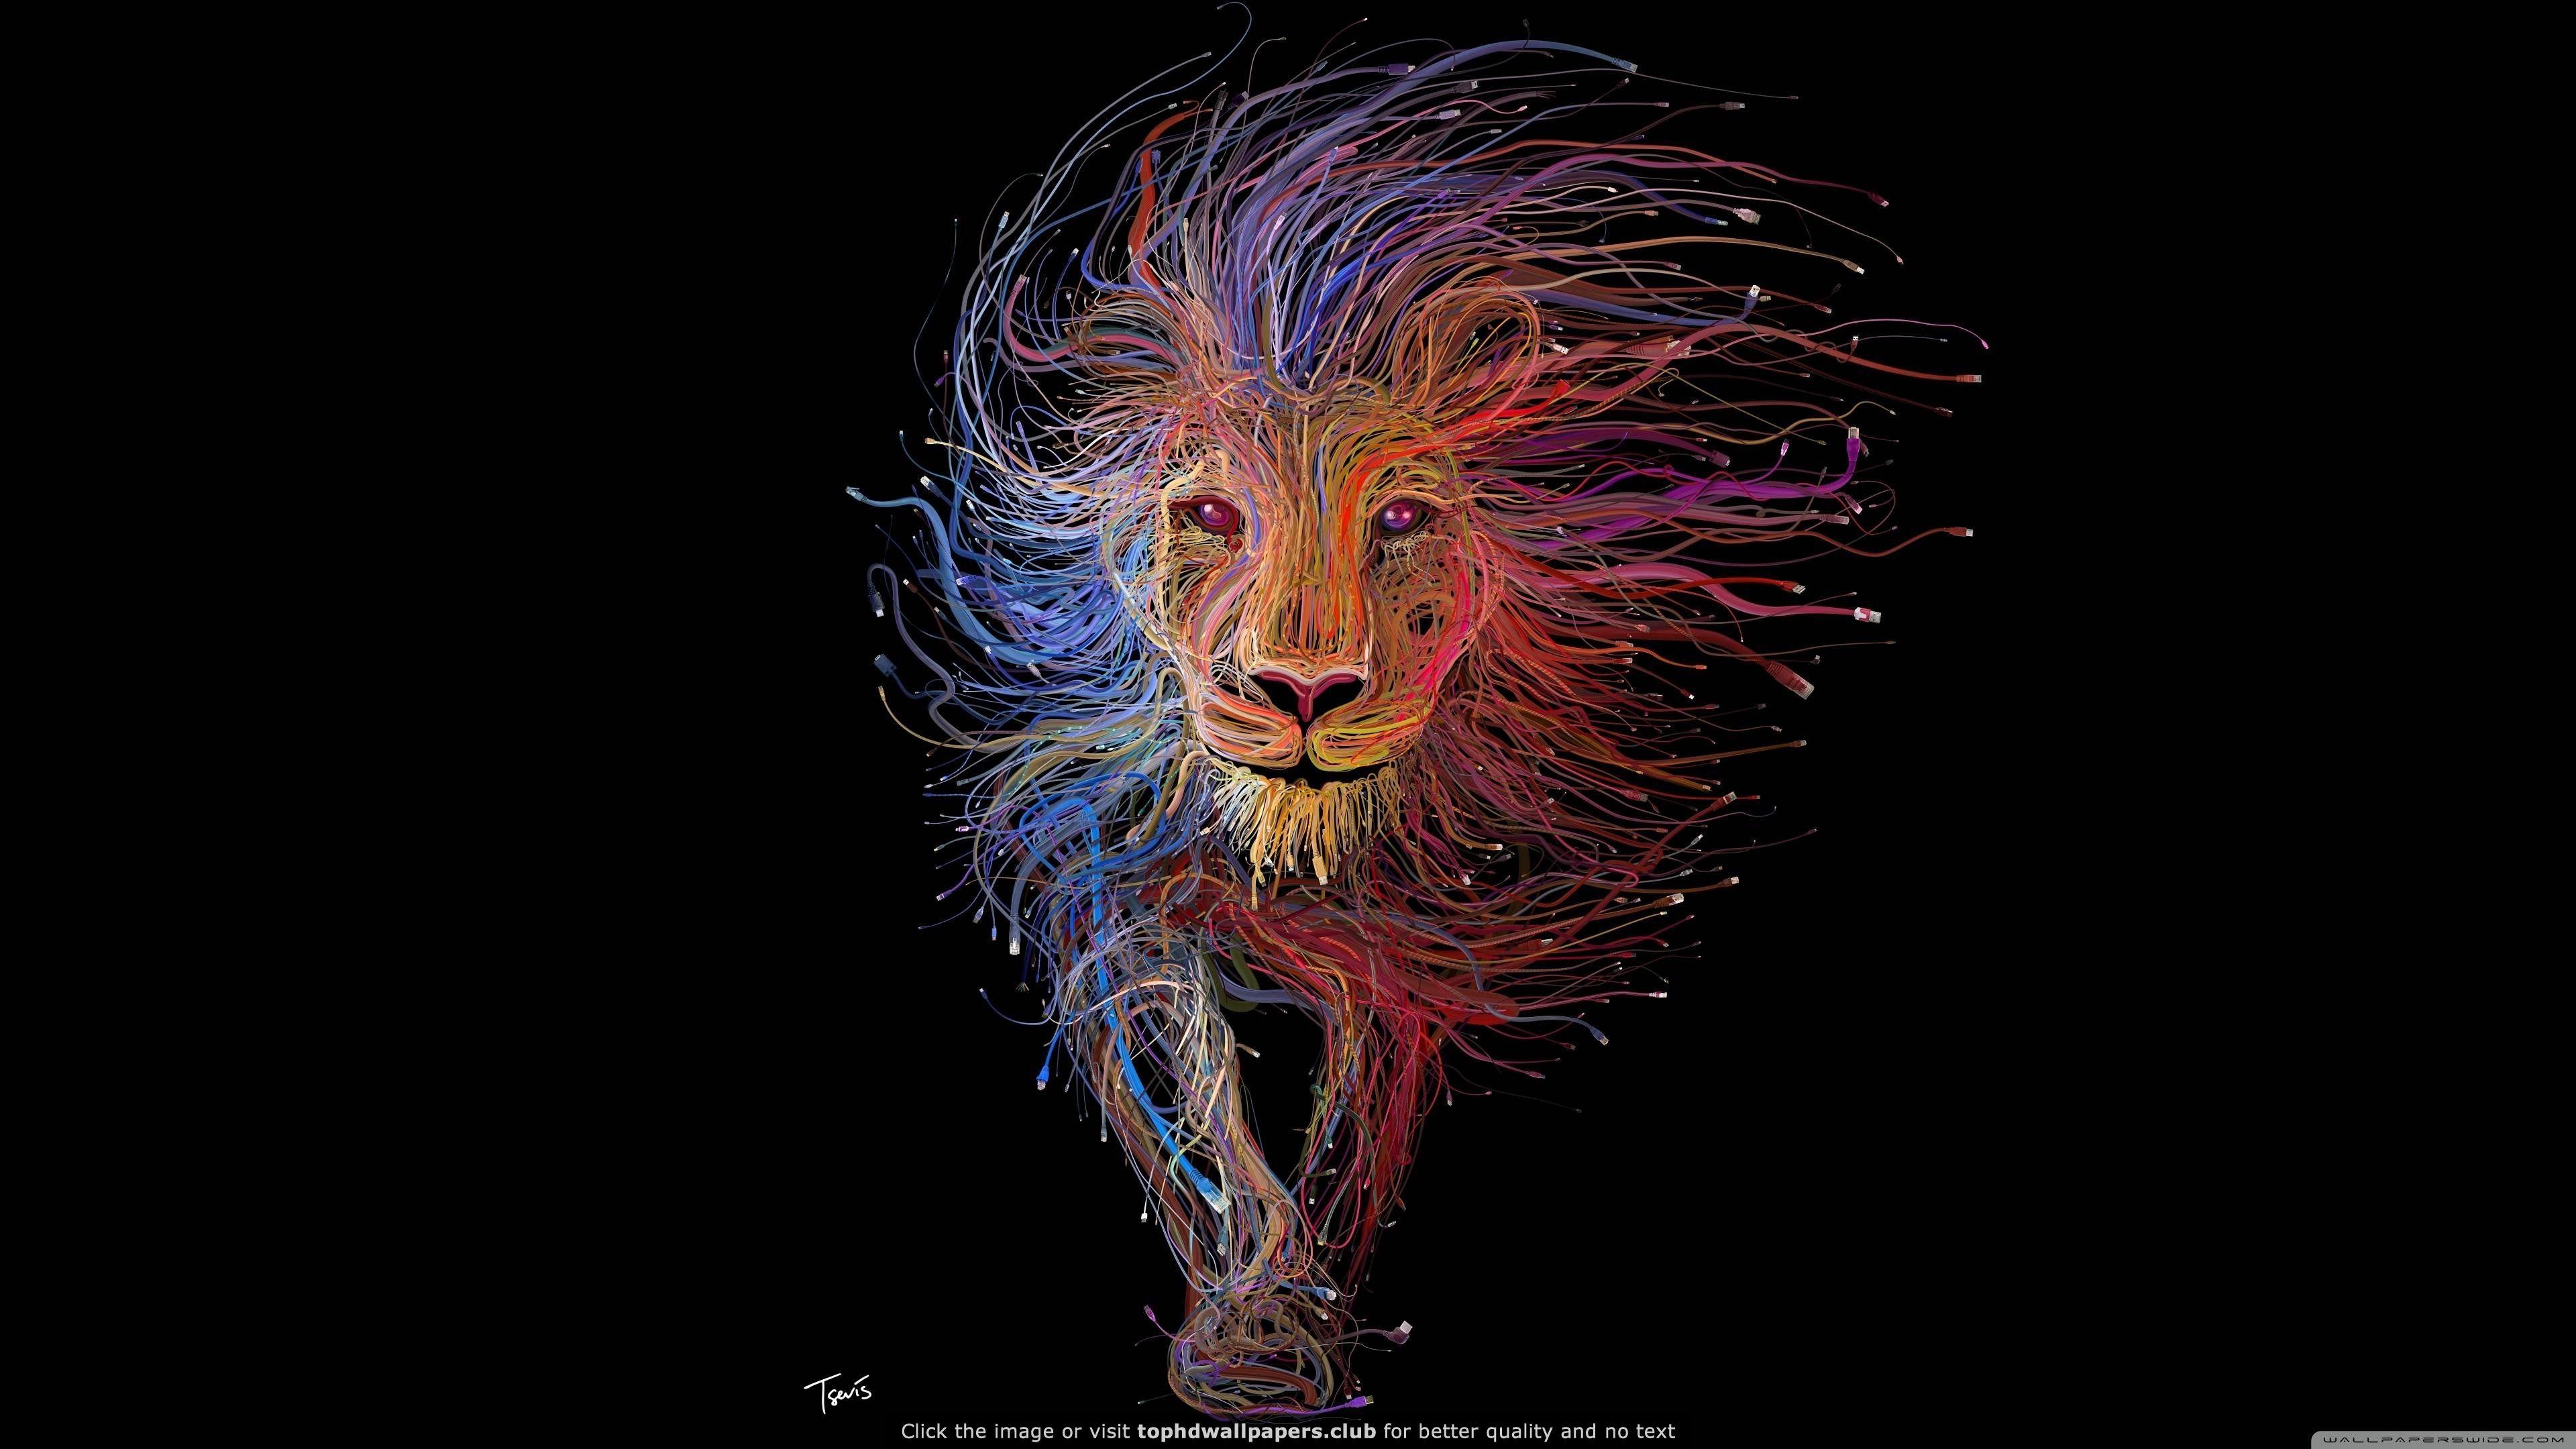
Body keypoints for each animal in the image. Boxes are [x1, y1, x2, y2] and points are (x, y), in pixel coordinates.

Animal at [857, 36, 1975, 1417]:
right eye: (1213, 517)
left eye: (1398, 520)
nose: (1303, 692)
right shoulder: (1114, 896)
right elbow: (1196, 1109)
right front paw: (1255, 1328)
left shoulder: (1420, 941)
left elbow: (1351, 1130)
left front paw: (1299, 1320)